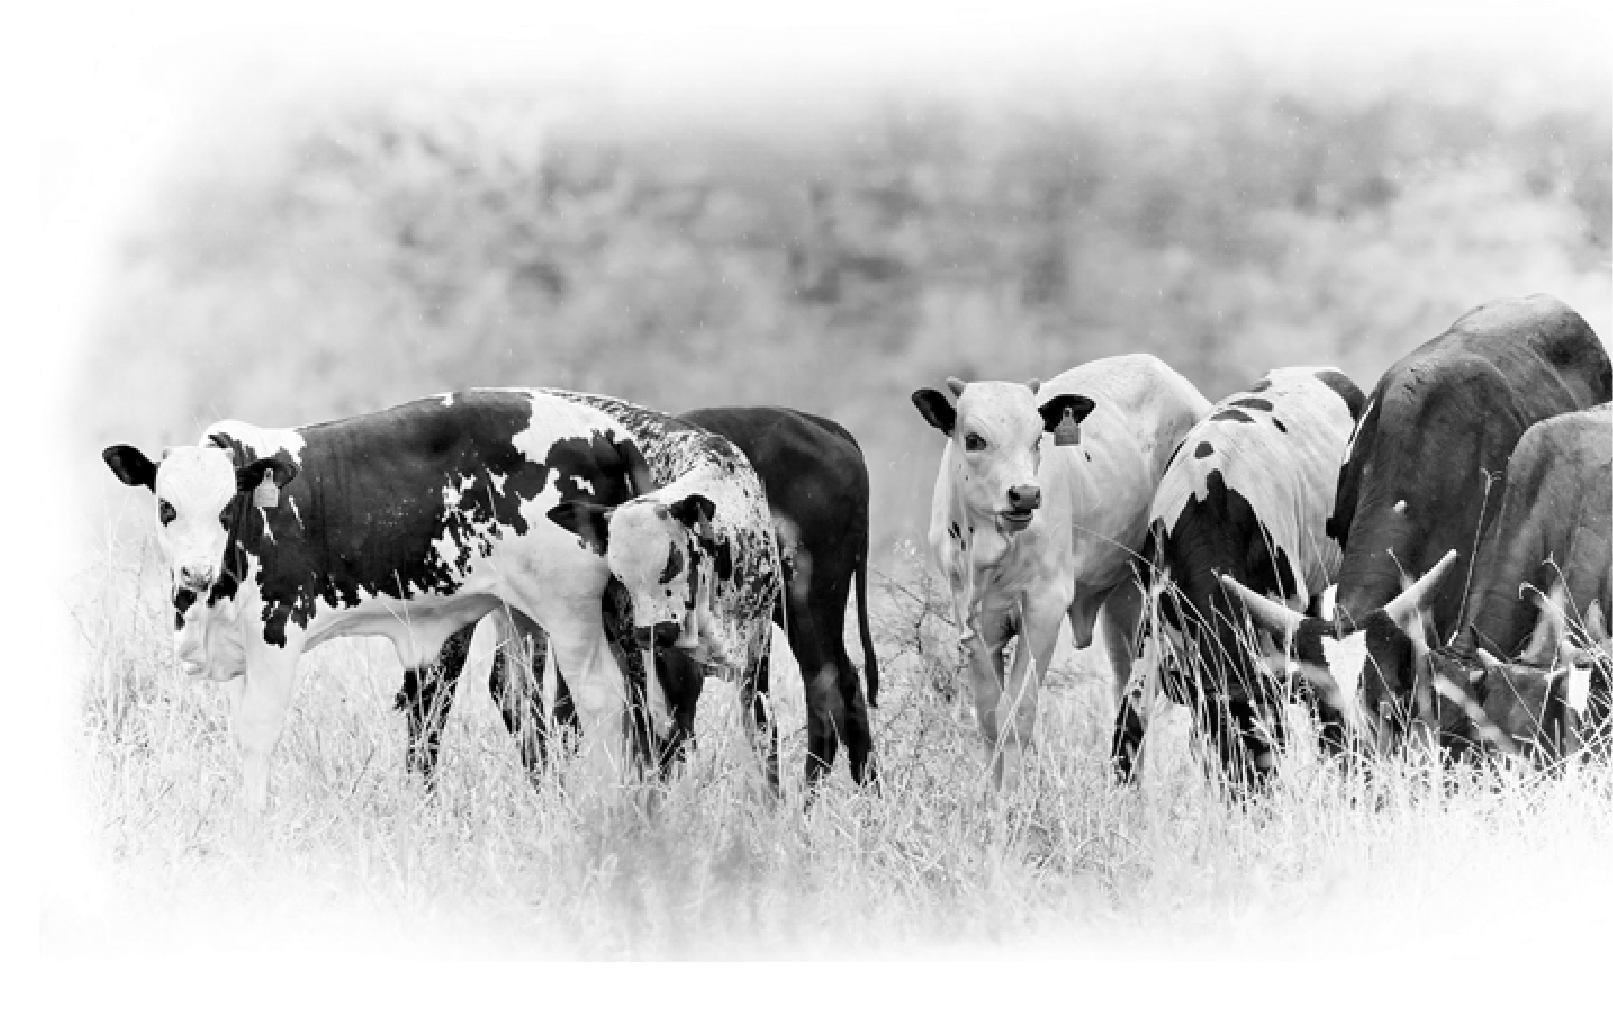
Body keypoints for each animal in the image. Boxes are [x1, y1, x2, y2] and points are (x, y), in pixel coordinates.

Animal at [101, 390, 657, 813]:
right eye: (166, 507)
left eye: (225, 508)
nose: (197, 571)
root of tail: (605, 430)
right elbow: (241, 736)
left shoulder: (276, 633)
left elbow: (258, 732)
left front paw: (252, 829)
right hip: (520, 611)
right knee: (526, 703)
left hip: (570, 612)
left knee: (603, 699)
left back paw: (604, 807)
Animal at [911, 355, 1211, 790]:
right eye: (974, 439)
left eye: (1038, 439)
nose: (1024, 494)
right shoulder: (975, 620)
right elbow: (989, 718)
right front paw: (992, 798)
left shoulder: (1044, 609)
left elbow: (1017, 716)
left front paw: (1011, 801)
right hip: (1124, 601)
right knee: (1128, 689)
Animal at [1111, 367, 1364, 791]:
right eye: (1211, 745)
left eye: (1270, 742)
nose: (1249, 799)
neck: (1209, 501)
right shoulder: (1155, 620)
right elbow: (1128, 721)